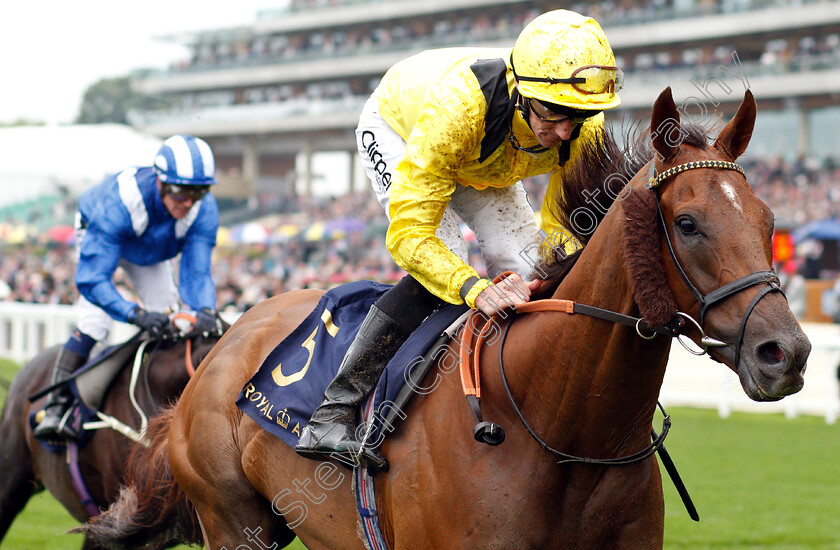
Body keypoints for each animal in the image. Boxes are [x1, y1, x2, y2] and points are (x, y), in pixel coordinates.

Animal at [83, 87, 808, 550]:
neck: (562, 429)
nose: (787, 353)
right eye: (687, 223)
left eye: (770, 220)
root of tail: (225, 339)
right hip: (236, 525)